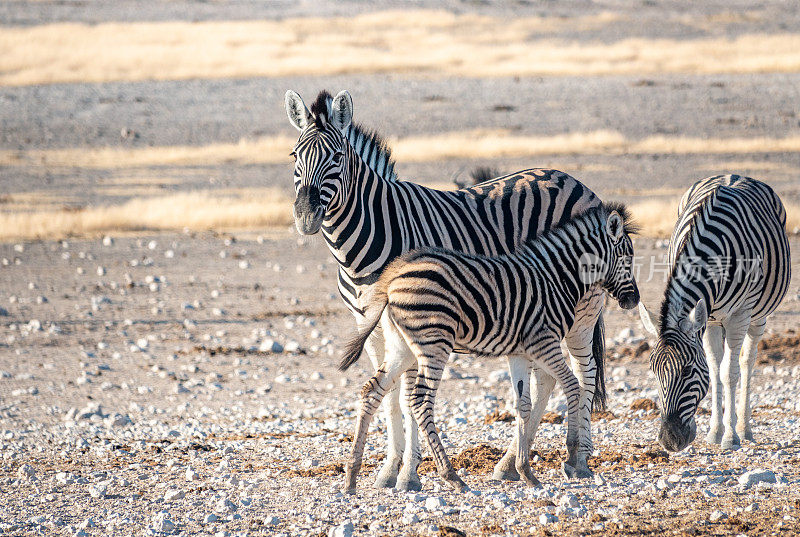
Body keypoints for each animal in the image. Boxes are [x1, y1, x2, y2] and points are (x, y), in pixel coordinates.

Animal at [286, 89, 608, 490]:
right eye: (294, 157)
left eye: (337, 157)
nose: (306, 218)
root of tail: (575, 180)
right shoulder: (371, 326)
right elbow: (388, 394)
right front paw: (389, 469)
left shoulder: (414, 319)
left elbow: (408, 397)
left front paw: (409, 473)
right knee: (546, 378)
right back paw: (509, 464)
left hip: (583, 309)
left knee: (585, 370)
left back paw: (579, 458)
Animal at [340, 203, 640, 492]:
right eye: (628, 259)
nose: (634, 300)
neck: (558, 279)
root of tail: (392, 278)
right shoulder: (544, 342)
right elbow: (573, 387)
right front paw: (571, 455)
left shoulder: (520, 352)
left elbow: (523, 404)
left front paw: (525, 471)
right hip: (433, 343)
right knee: (421, 401)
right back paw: (451, 476)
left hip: (400, 345)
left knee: (371, 391)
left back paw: (352, 475)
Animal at [636, 174, 792, 450]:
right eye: (654, 370)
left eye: (687, 370)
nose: (669, 441)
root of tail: (735, 174)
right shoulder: (707, 318)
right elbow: (714, 369)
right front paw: (715, 432)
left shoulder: (739, 314)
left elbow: (729, 373)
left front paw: (730, 437)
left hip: (758, 316)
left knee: (747, 362)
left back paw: (744, 428)